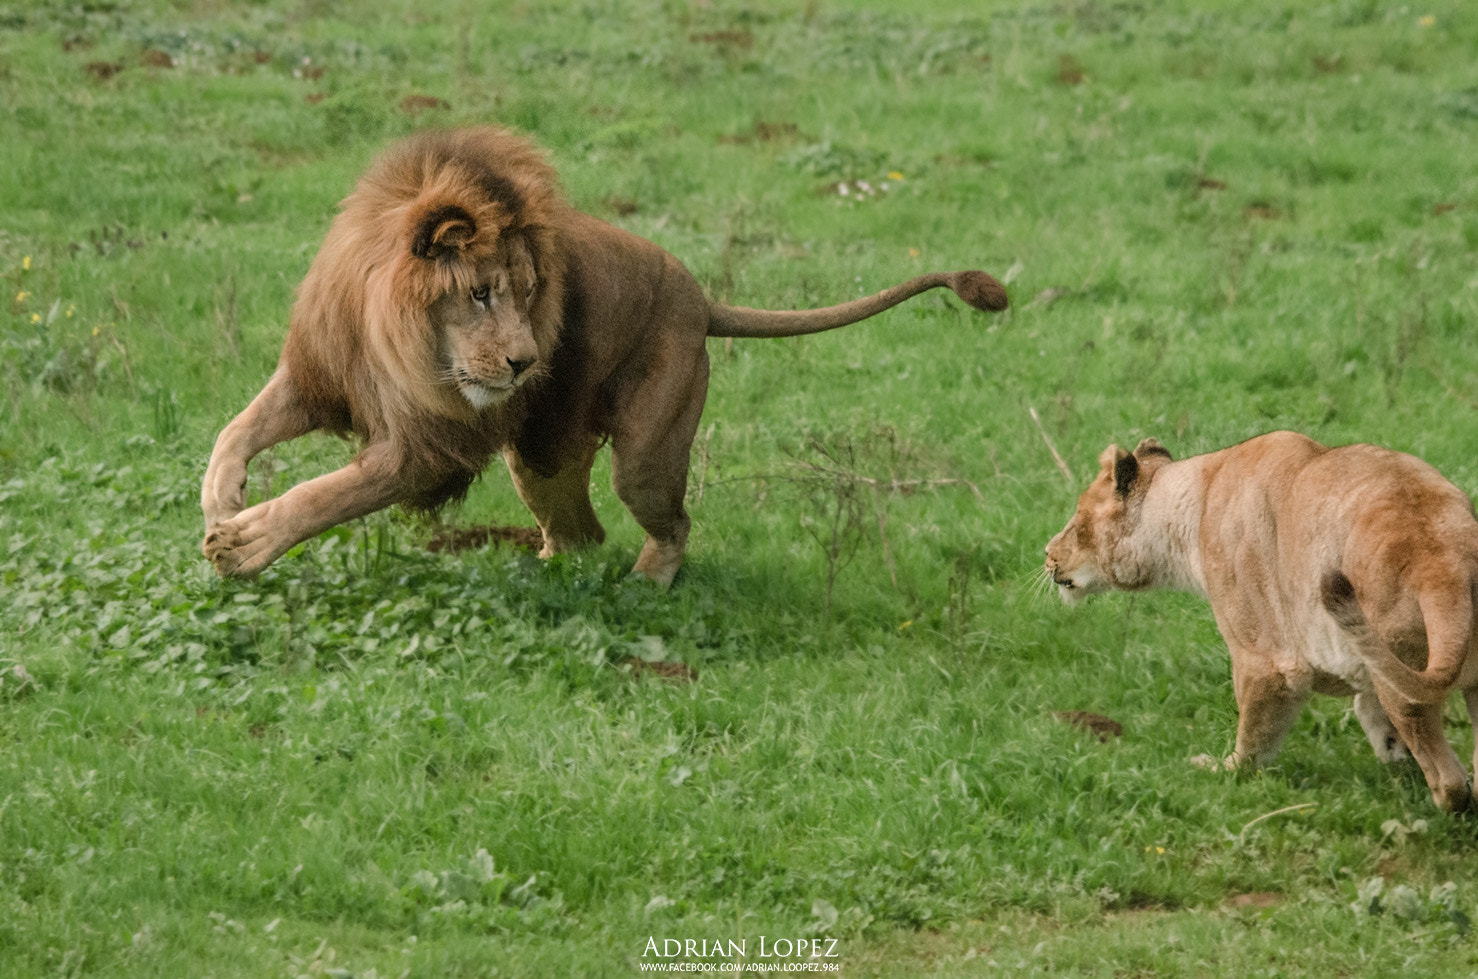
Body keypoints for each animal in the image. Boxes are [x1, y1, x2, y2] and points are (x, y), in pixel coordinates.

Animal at [201, 126, 1008, 587]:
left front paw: (245, 543)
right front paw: (221, 496)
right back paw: (550, 579)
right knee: (579, 533)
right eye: (483, 294)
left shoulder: (427, 447)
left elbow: (325, 494)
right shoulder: (325, 376)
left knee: (669, 523)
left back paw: (645, 587)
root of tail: (702, 298)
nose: (528, 365)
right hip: (540, 459)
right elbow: (237, 426)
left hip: (646, 456)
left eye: (530, 293)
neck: (397, 339)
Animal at [1044, 430, 1478, 811]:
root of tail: (1444, 565)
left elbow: (1254, 729)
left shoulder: (1266, 661)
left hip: (1402, 677)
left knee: (1449, 781)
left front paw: (1226, 771)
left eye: (1077, 520)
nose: (1047, 553)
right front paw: (1394, 756)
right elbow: (1368, 707)